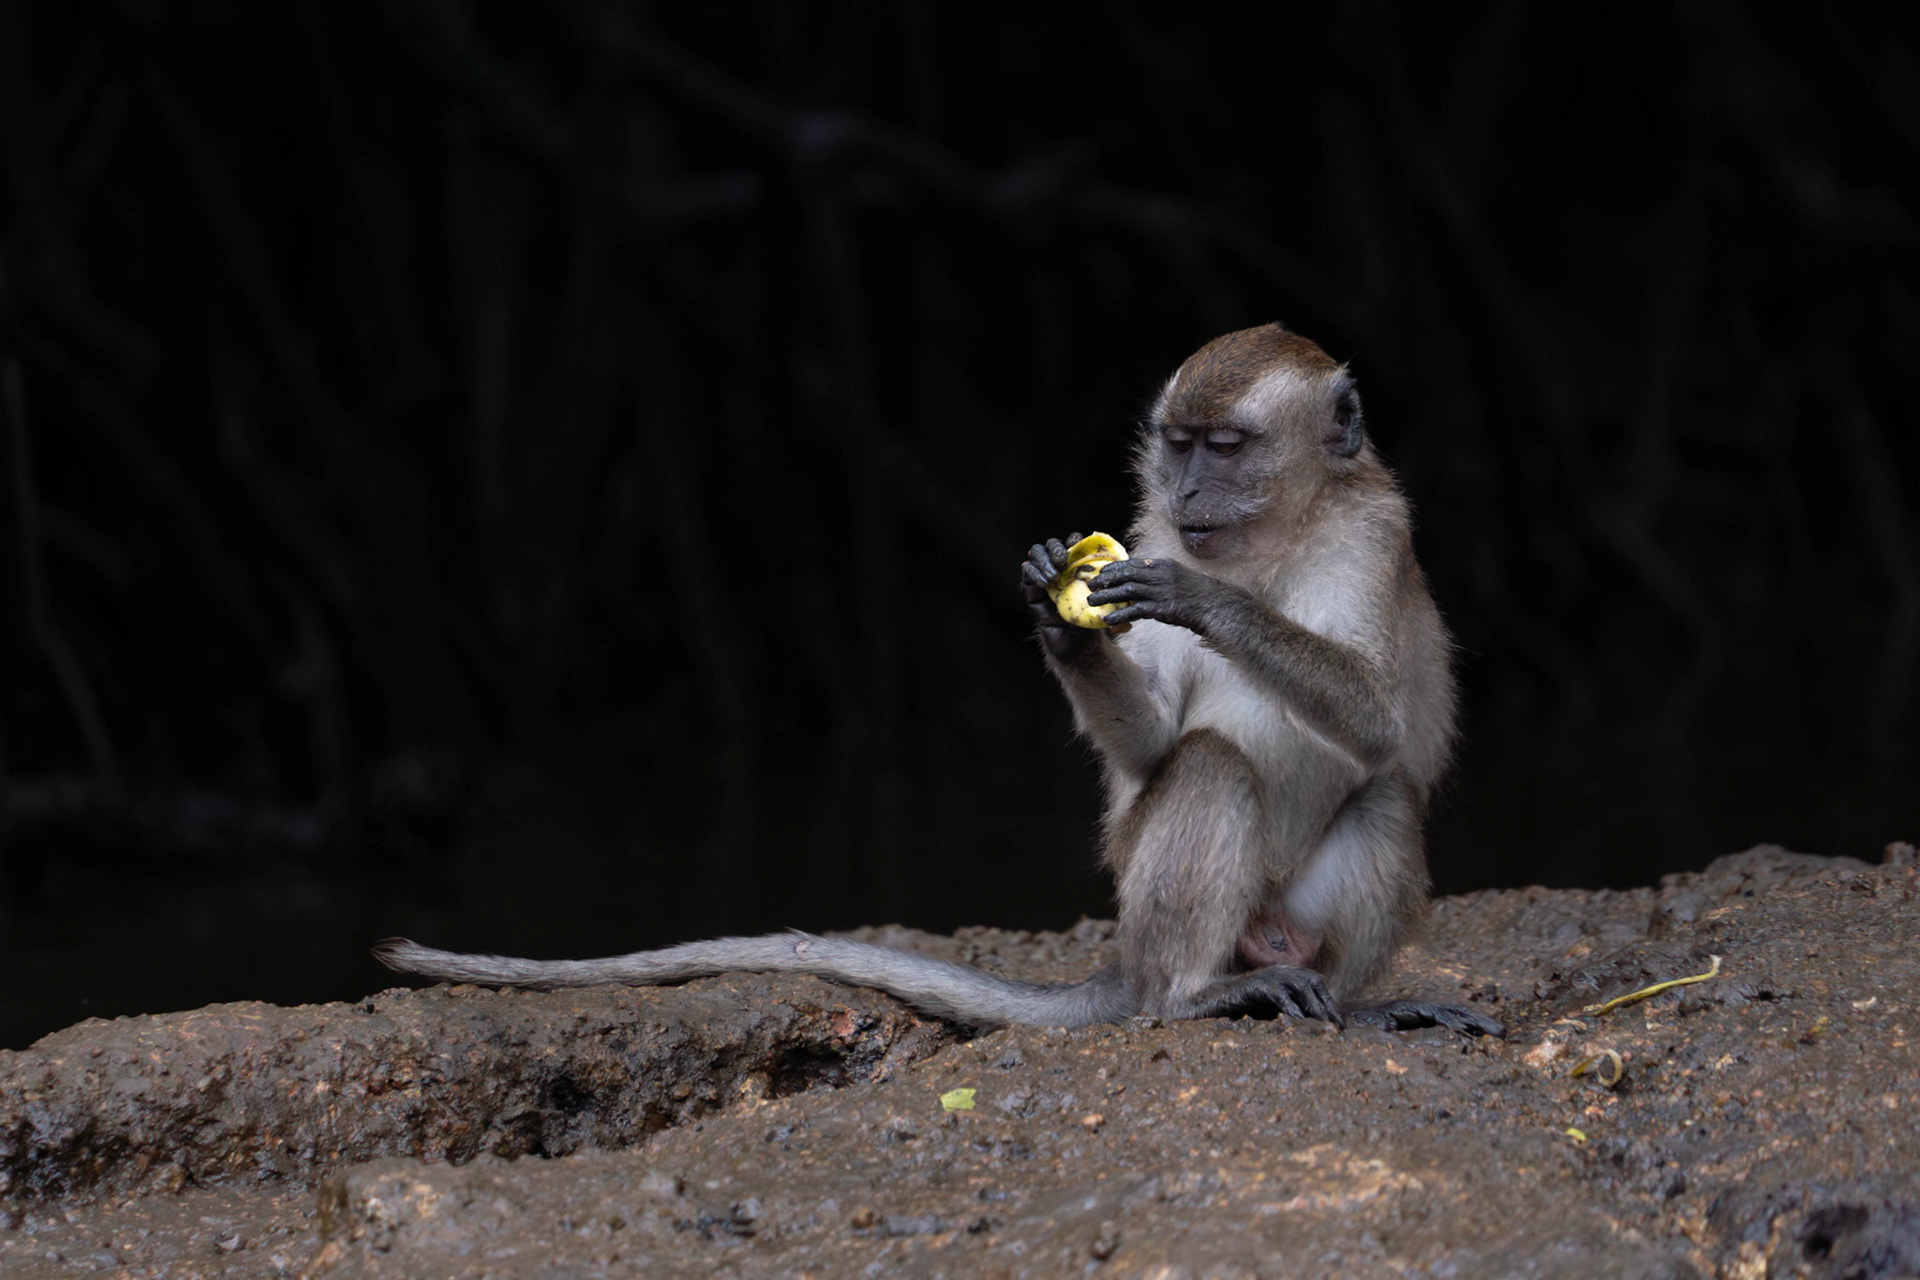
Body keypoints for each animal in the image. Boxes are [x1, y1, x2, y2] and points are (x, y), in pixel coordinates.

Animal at [374, 324, 1500, 1037]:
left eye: (1226, 447)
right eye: (1178, 448)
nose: (1188, 493)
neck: (1272, 541)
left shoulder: (1372, 533)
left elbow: (1378, 720)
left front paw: (1203, 601)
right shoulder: (1151, 526)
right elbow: (1154, 744)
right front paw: (1060, 616)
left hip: (1289, 921)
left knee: (1383, 792)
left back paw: (1349, 1001)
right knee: (1214, 767)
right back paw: (1188, 996)